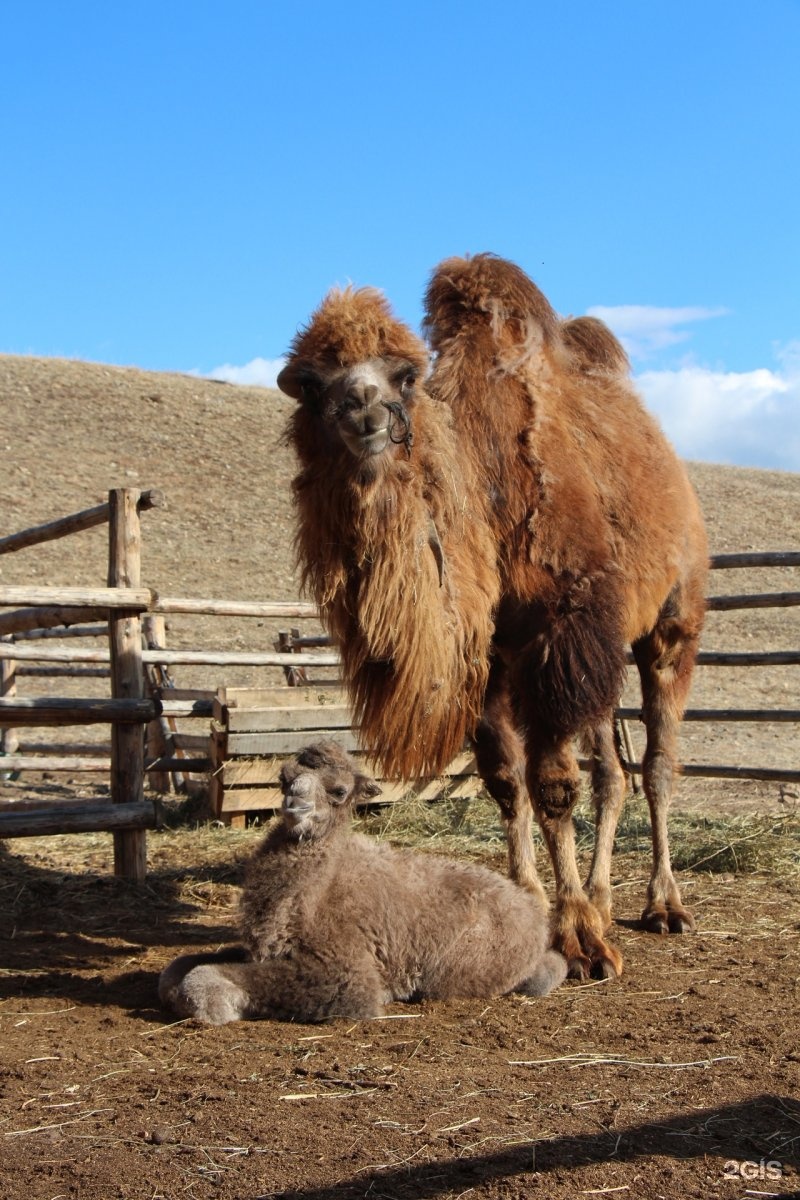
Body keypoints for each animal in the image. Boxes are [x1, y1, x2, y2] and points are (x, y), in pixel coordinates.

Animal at [158, 739, 568, 1022]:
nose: (295, 805)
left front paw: (213, 1005)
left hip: (458, 971)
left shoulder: (345, 975)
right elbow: (177, 967)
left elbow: (203, 977)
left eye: (339, 791)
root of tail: (533, 915)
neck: (311, 898)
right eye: (283, 779)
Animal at [278, 253, 710, 974]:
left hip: (673, 621)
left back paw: (664, 905)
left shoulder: (555, 631)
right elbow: (507, 781)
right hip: (601, 642)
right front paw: (531, 907)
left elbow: (553, 784)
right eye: (310, 383)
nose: (363, 407)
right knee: (611, 773)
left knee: (656, 763)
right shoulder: (489, 655)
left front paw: (580, 938)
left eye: (404, 375)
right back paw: (604, 897)